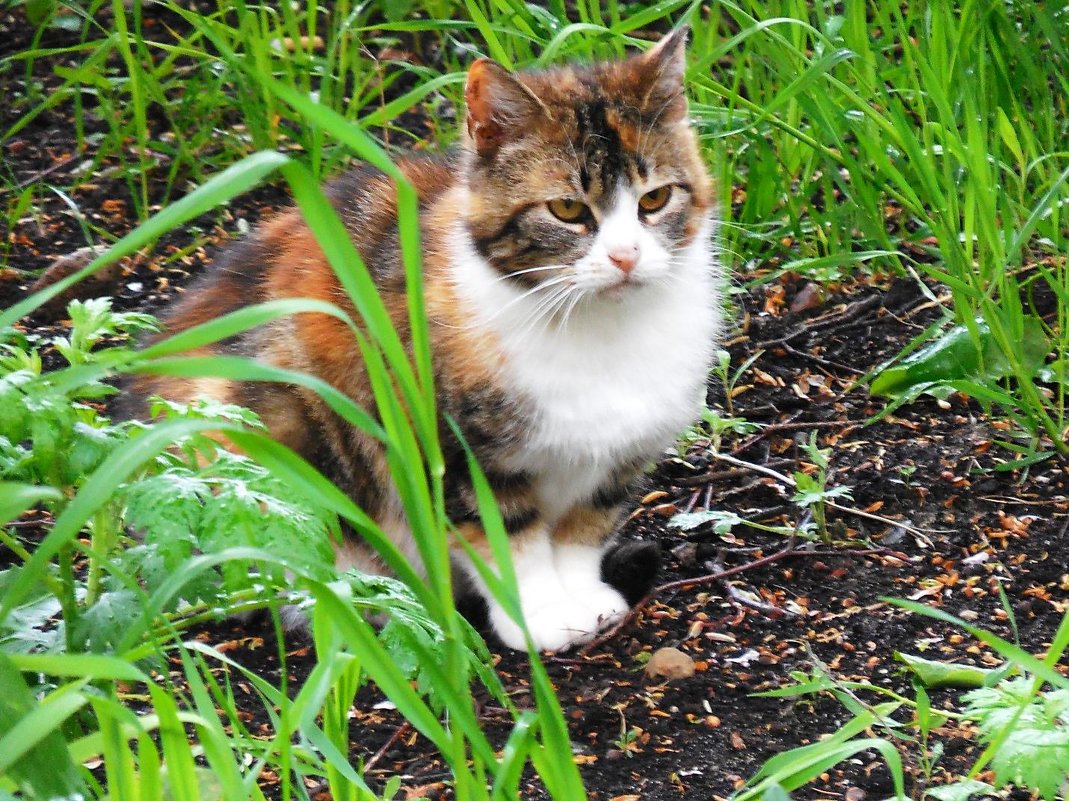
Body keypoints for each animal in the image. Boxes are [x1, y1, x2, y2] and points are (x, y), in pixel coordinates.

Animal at [127, 28, 726, 654]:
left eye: (654, 199)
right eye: (567, 209)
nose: (626, 256)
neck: (600, 330)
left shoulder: (621, 458)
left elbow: (584, 528)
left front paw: (585, 598)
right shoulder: (451, 450)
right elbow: (509, 541)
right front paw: (539, 616)